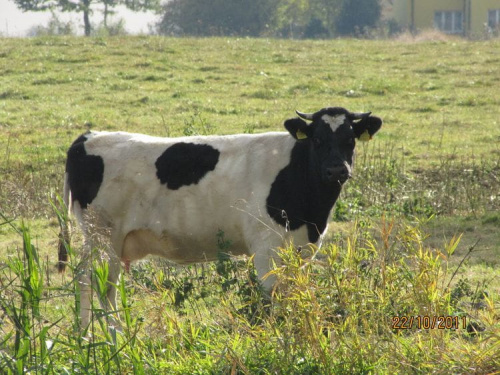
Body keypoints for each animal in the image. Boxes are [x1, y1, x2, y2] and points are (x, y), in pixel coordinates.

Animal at [56, 106, 380, 328]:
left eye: (350, 140)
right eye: (317, 140)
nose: (337, 170)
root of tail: (89, 136)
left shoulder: (300, 248)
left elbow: (293, 293)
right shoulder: (266, 247)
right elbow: (271, 297)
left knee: (94, 281)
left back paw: (88, 338)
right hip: (103, 237)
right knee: (96, 282)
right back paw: (109, 339)